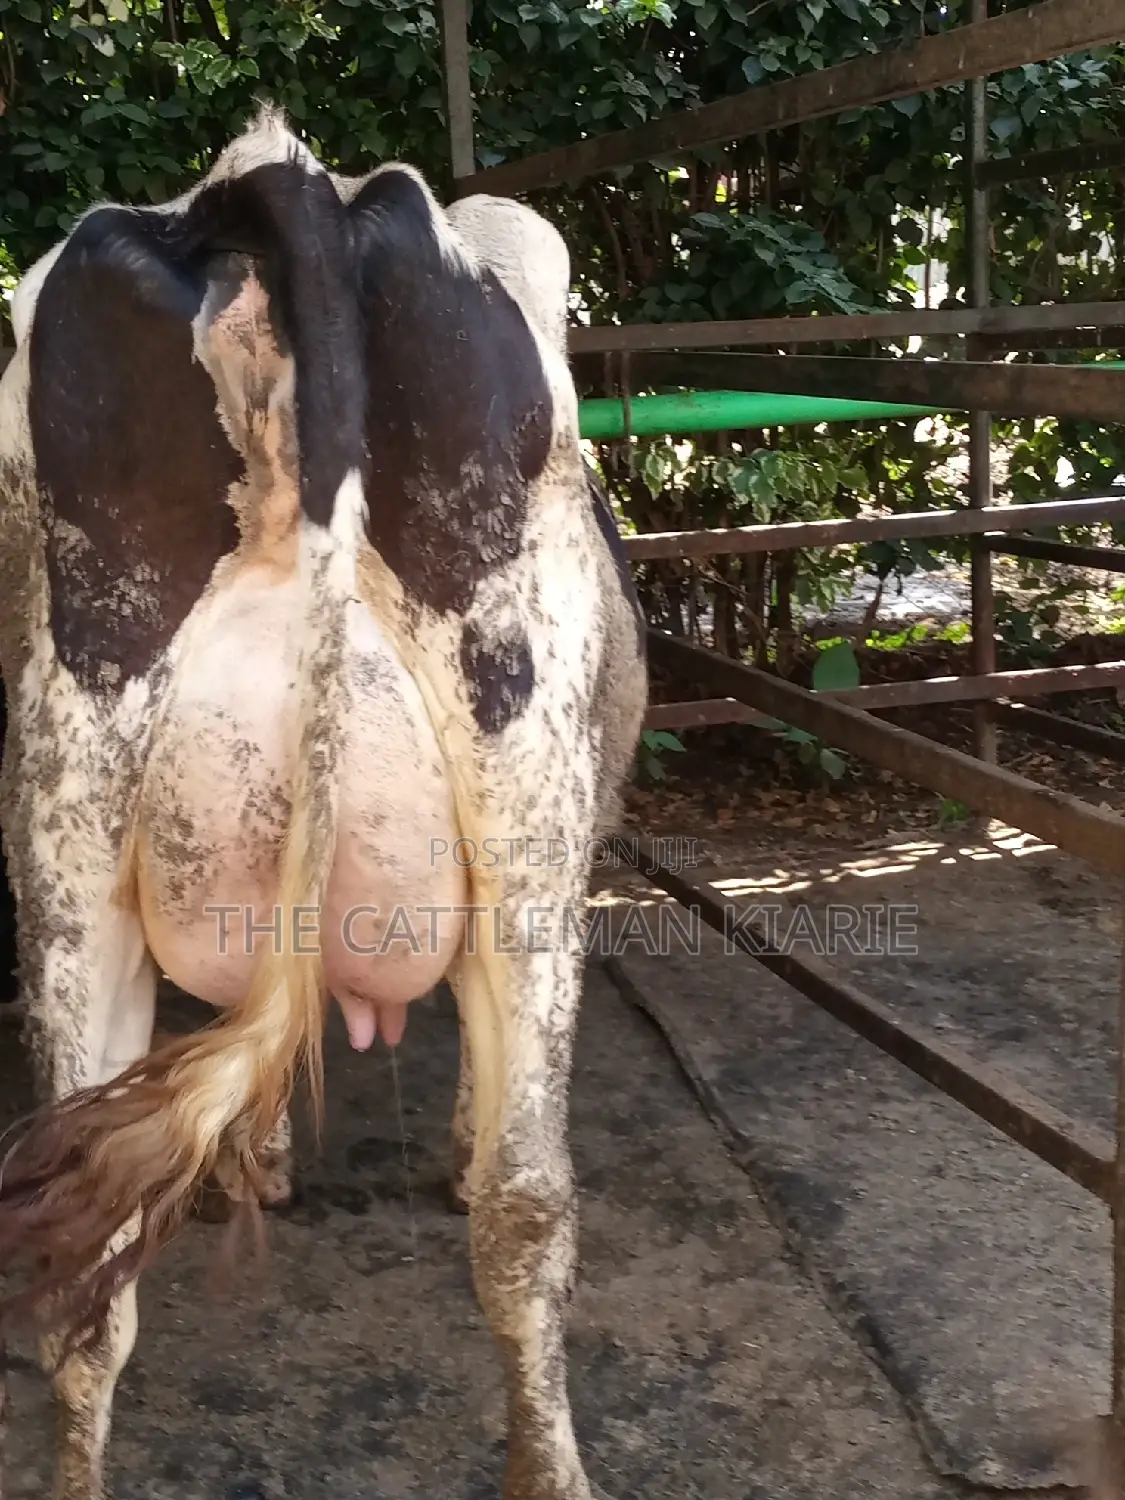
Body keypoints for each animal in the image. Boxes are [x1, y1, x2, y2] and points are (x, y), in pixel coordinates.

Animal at [0, 104, 647, 1500]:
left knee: (85, 1259)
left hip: (68, 823)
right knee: (526, 1209)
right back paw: (550, 1461)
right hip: (526, 818)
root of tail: (271, 178)